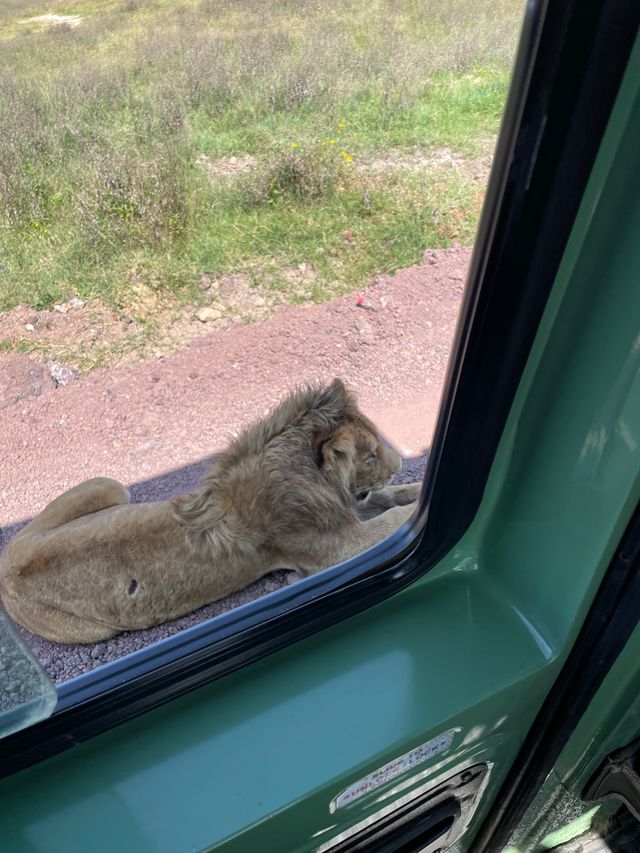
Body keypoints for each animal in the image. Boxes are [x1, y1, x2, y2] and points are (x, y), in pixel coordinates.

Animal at [0, 376, 420, 644]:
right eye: (371, 455)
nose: (401, 461)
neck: (305, 477)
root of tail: (6, 566)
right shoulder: (334, 550)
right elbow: (391, 520)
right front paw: (415, 508)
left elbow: (388, 497)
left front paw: (415, 488)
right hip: (98, 629)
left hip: (110, 486)